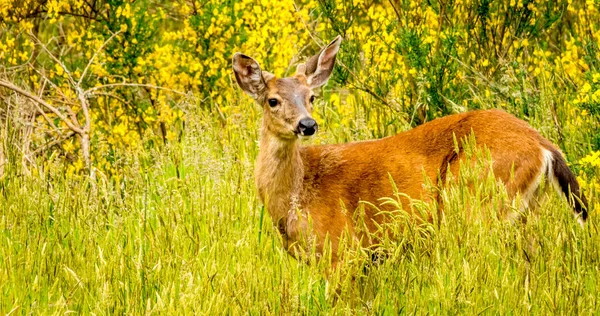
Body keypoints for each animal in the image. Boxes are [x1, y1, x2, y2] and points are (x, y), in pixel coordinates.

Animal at [232, 35, 588, 266]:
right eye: (272, 100)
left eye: (311, 97)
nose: (307, 124)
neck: (298, 192)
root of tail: (543, 145)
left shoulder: (341, 250)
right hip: (525, 209)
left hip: (477, 201)